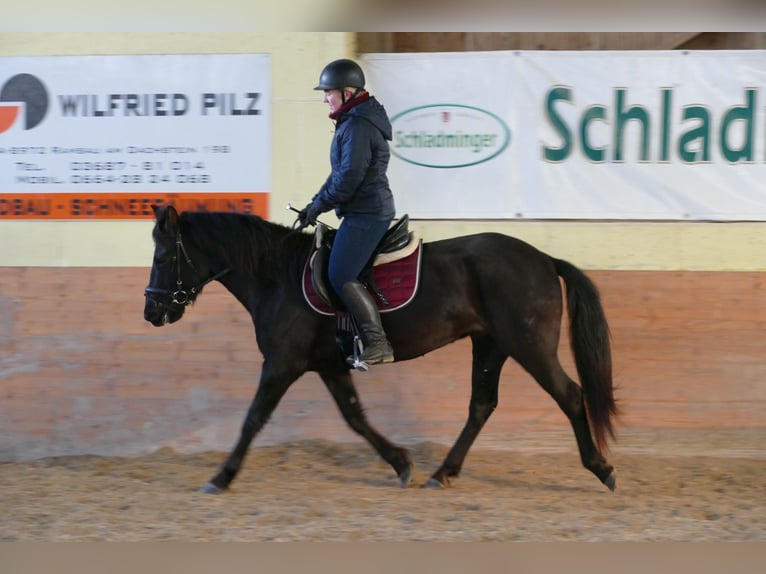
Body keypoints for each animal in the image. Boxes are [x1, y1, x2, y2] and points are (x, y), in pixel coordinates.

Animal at [144, 205, 620, 492]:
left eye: (164, 258)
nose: (151, 312)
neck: (278, 276)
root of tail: (544, 259)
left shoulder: (282, 363)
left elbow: (253, 419)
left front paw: (221, 477)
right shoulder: (329, 365)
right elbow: (355, 418)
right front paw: (400, 462)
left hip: (528, 345)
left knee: (569, 395)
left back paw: (602, 469)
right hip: (490, 345)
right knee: (481, 406)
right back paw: (442, 472)